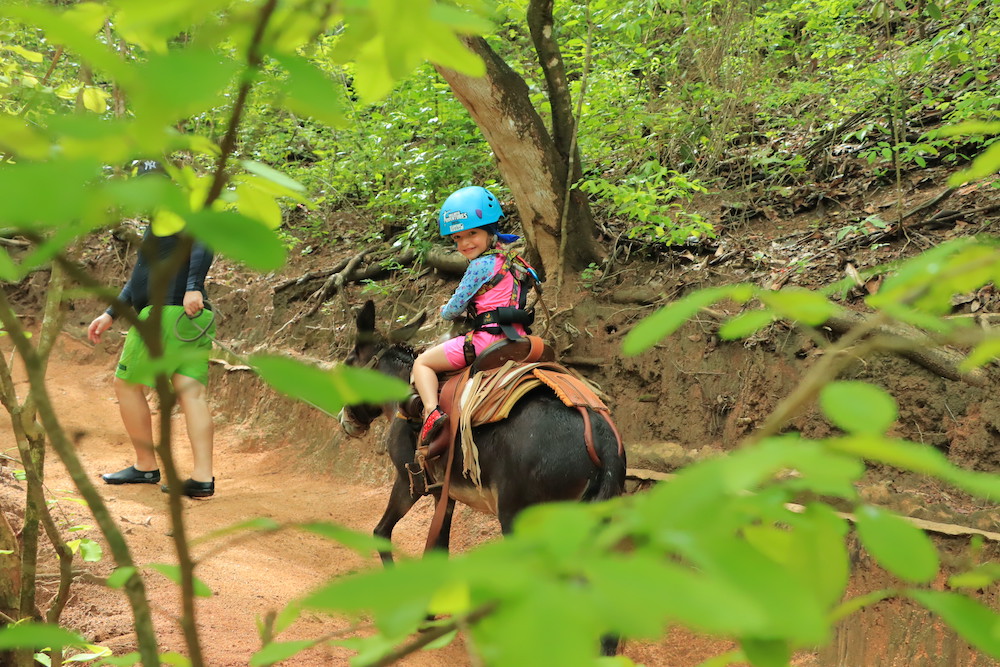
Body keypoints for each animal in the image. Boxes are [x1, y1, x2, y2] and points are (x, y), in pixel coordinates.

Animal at [338, 300, 627, 566]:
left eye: (348, 364)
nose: (344, 419)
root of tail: (601, 439)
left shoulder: (408, 480)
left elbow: (382, 532)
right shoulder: (443, 492)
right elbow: (438, 549)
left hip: (520, 519)